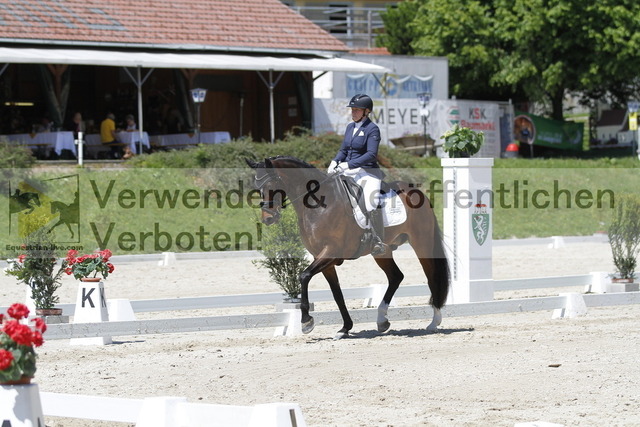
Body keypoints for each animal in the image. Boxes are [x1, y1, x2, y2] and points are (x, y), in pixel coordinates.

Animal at [246, 156, 450, 340]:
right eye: (257, 187)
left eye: (272, 184)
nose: (268, 218)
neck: (319, 205)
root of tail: (417, 192)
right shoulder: (323, 258)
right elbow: (337, 293)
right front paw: (344, 328)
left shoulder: (331, 251)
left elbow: (303, 276)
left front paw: (306, 322)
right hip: (383, 251)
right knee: (396, 276)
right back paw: (382, 320)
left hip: (421, 243)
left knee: (431, 277)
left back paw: (434, 322)